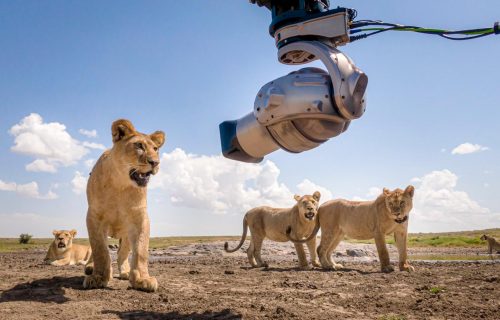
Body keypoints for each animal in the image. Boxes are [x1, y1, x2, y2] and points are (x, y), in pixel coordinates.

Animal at [82, 119, 166, 292]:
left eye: (155, 149)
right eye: (139, 145)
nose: (155, 162)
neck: (120, 183)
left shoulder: (140, 217)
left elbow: (141, 249)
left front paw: (142, 279)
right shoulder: (94, 217)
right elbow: (100, 249)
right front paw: (98, 277)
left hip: (126, 234)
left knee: (123, 252)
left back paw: (125, 272)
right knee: (94, 250)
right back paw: (90, 268)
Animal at [288, 186, 416, 274]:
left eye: (402, 202)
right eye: (390, 203)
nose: (396, 213)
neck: (395, 220)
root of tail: (321, 205)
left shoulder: (401, 232)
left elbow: (403, 250)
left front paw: (405, 267)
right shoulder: (378, 232)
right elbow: (383, 251)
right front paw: (387, 268)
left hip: (338, 234)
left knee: (328, 251)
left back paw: (334, 266)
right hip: (330, 231)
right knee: (320, 249)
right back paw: (327, 266)